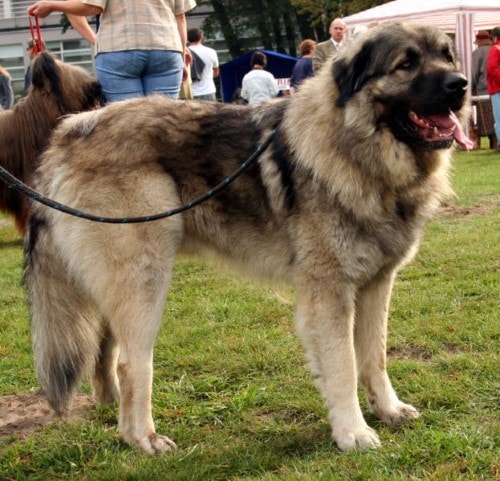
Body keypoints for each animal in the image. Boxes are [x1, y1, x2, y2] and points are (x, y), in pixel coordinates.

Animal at [25, 23, 470, 454]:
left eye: (446, 56)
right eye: (406, 64)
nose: (461, 84)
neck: (355, 148)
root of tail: (71, 129)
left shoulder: (376, 285)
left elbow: (374, 356)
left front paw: (388, 409)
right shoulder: (330, 294)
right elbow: (343, 366)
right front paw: (353, 433)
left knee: (106, 350)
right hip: (144, 280)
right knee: (133, 363)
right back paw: (143, 438)